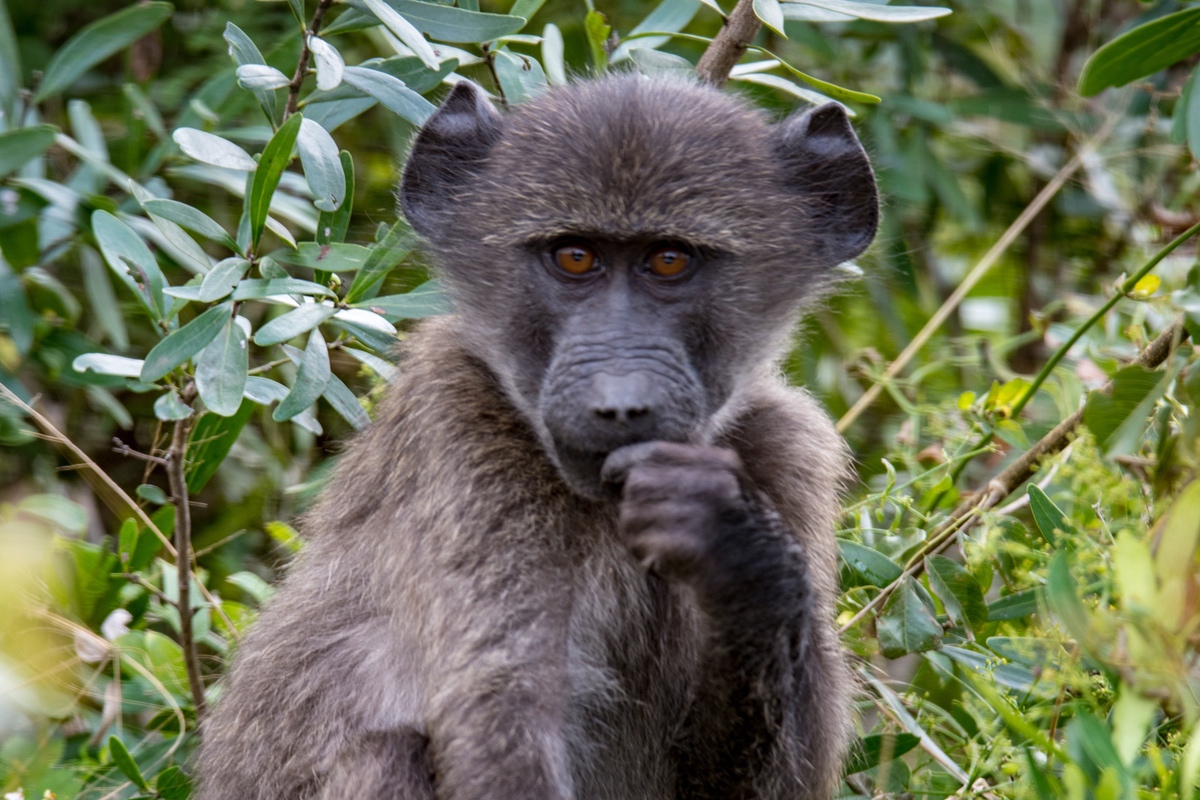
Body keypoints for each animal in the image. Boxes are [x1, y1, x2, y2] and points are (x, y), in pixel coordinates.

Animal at [196, 73, 878, 800]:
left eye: (669, 261)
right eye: (574, 258)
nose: (618, 404)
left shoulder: (786, 448)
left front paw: (736, 548)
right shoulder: (463, 432)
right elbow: (503, 712)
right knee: (388, 752)